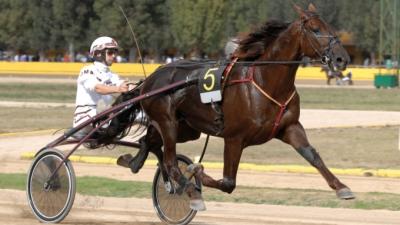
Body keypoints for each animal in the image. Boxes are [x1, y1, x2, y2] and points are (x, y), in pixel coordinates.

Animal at [124, 3, 354, 211]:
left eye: (330, 27)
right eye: (315, 29)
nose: (342, 58)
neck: (265, 82)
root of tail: (152, 78)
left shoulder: (290, 128)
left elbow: (313, 156)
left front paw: (342, 187)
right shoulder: (234, 138)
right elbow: (228, 183)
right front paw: (195, 172)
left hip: (186, 128)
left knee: (149, 141)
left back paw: (132, 162)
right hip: (168, 122)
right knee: (170, 162)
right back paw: (190, 192)